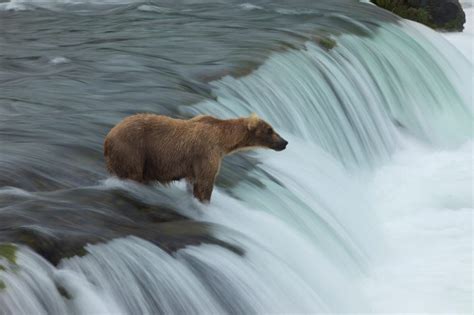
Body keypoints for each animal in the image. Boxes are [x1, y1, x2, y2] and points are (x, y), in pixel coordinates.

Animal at [104, 113, 286, 202]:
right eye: (270, 130)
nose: (284, 142)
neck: (223, 141)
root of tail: (107, 137)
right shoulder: (207, 154)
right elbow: (205, 184)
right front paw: (204, 203)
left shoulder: (194, 165)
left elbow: (193, 182)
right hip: (132, 151)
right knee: (132, 174)